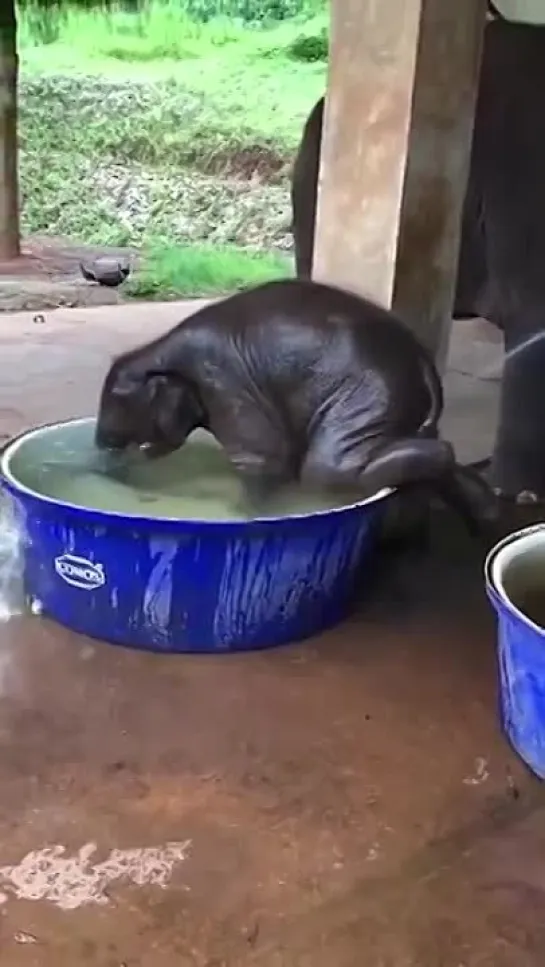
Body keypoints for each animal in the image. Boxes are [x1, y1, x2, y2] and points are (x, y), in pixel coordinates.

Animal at [94, 278, 498, 536]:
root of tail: (420, 357)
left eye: (118, 409)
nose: (109, 460)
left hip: (370, 394)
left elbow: (264, 458)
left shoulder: (224, 381)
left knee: (327, 470)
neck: (158, 349)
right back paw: (484, 514)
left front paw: (246, 516)